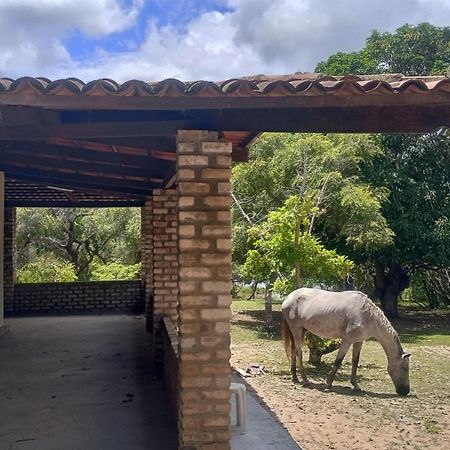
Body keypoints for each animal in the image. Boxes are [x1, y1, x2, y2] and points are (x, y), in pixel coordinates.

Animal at [282, 286, 412, 396]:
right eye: (405, 368)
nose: (405, 391)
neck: (368, 315)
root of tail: (288, 298)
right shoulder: (347, 340)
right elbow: (338, 361)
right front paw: (328, 384)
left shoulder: (358, 341)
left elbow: (355, 362)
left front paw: (356, 385)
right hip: (296, 329)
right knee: (298, 353)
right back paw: (305, 380)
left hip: (302, 330)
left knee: (293, 351)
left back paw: (295, 377)